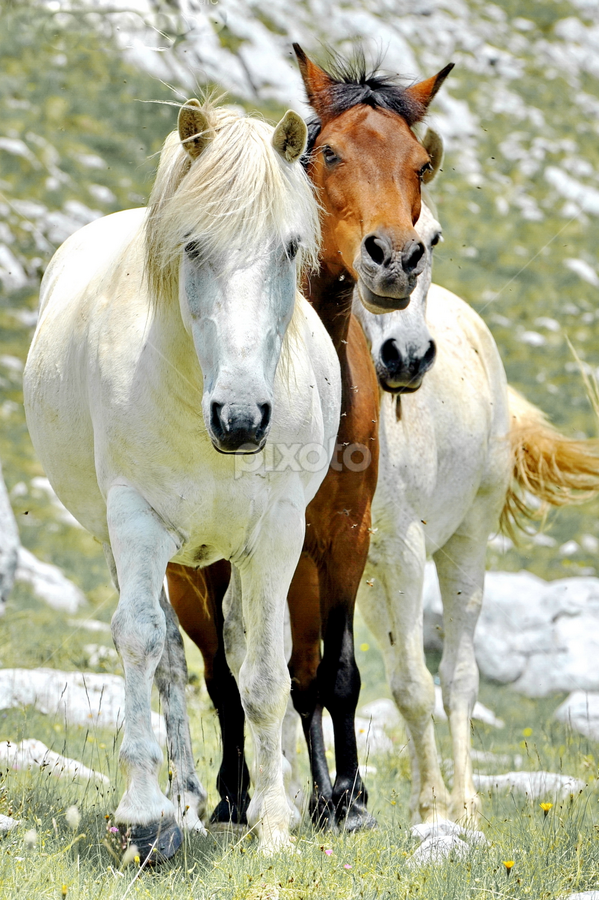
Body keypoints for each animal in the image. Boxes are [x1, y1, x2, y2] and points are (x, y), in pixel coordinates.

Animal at [23, 99, 342, 859]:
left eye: (290, 248)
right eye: (193, 246)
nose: (242, 417)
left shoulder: (277, 535)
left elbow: (266, 674)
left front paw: (274, 824)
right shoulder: (136, 522)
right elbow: (142, 642)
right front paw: (144, 814)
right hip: (137, 548)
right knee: (166, 657)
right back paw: (184, 805)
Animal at [166, 47, 454, 833]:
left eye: (420, 164)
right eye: (329, 154)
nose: (393, 259)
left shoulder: (344, 533)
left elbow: (336, 671)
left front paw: (347, 797)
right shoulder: (269, 545)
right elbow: (275, 676)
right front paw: (297, 794)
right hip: (189, 574)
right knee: (221, 673)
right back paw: (233, 793)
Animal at [354, 180, 599, 826]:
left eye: (433, 239)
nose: (407, 358)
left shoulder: (403, 550)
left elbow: (414, 686)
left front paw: (436, 809)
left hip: (463, 544)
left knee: (455, 677)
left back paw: (459, 807)